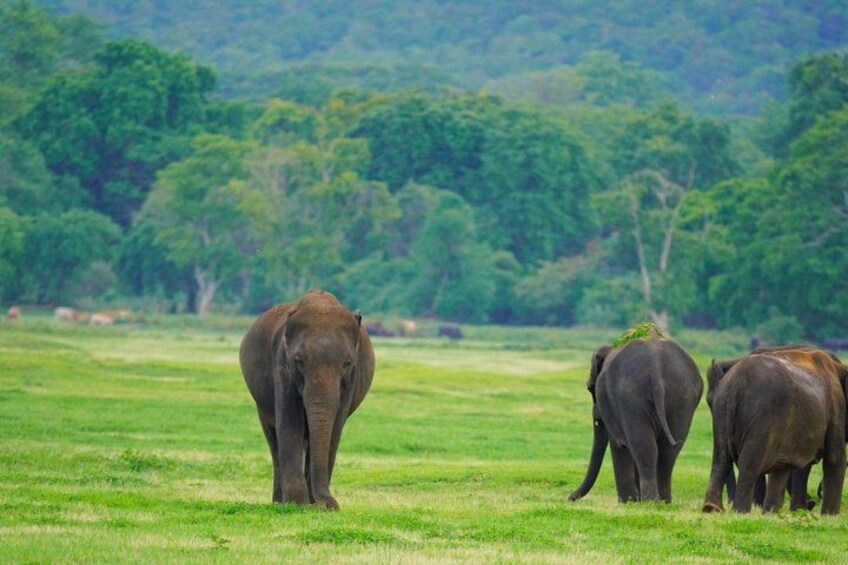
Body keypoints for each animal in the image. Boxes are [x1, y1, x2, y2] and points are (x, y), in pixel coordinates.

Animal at [239, 290, 375, 510]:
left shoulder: (352, 377)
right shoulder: (282, 363)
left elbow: (335, 425)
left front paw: (315, 505)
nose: (331, 504)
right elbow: (290, 420)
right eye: (298, 361)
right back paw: (279, 502)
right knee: (273, 440)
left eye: (347, 363)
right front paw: (296, 503)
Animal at [569, 331, 703, 503]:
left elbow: (619, 444)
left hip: (630, 397)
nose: (569, 497)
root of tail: (655, 367)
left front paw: (627, 503)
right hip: (682, 397)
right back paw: (663, 502)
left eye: (590, 389)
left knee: (643, 446)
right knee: (668, 451)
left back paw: (649, 501)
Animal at [702, 347, 848, 514]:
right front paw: (829, 516)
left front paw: (771, 512)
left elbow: (785, 466)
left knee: (722, 456)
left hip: (723, 408)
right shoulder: (836, 404)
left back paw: (712, 508)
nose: (812, 502)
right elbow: (835, 458)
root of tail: (736, 383)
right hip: (762, 414)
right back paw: (741, 511)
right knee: (750, 461)